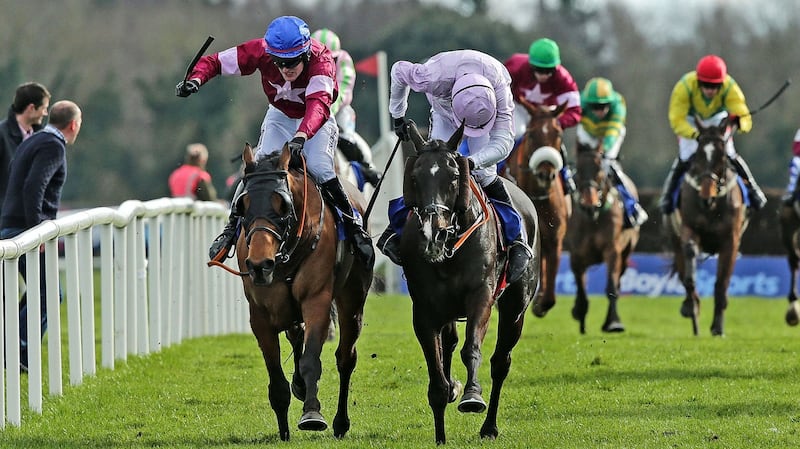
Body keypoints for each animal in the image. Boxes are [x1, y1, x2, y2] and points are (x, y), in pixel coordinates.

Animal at [233, 143, 374, 438]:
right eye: (243, 204)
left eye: (282, 204)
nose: (259, 265)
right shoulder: (260, 314)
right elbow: (276, 377)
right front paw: (284, 431)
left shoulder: (316, 300)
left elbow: (311, 361)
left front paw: (312, 413)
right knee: (295, 334)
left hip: (352, 299)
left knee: (346, 358)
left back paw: (340, 422)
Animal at [398, 121, 540, 442]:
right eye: (414, 177)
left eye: (453, 177)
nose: (433, 233)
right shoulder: (423, 309)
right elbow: (437, 373)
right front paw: (441, 432)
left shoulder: (481, 296)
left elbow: (471, 348)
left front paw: (473, 395)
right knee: (449, 343)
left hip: (515, 308)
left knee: (501, 362)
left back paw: (489, 426)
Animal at [506, 98, 568, 316]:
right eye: (531, 134)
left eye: (558, 134)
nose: (545, 174)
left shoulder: (555, 237)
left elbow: (549, 295)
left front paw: (540, 303)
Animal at [564, 140, 640, 332]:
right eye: (578, 169)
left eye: (599, 169)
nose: (589, 204)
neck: (594, 218)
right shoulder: (577, 254)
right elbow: (581, 288)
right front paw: (579, 313)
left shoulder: (612, 250)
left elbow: (611, 286)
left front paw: (613, 322)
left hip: (626, 252)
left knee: (619, 278)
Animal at [664, 117, 748, 334]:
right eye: (699, 156)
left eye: (722, 155)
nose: (705, 198)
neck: (713, 207)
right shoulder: (689, 229)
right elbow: (689, 266)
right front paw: (691, 306)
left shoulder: (731, 241)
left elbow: (722, 283)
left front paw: (718, 326)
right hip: (674, 239)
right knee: (683, 269)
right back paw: (691, 309)